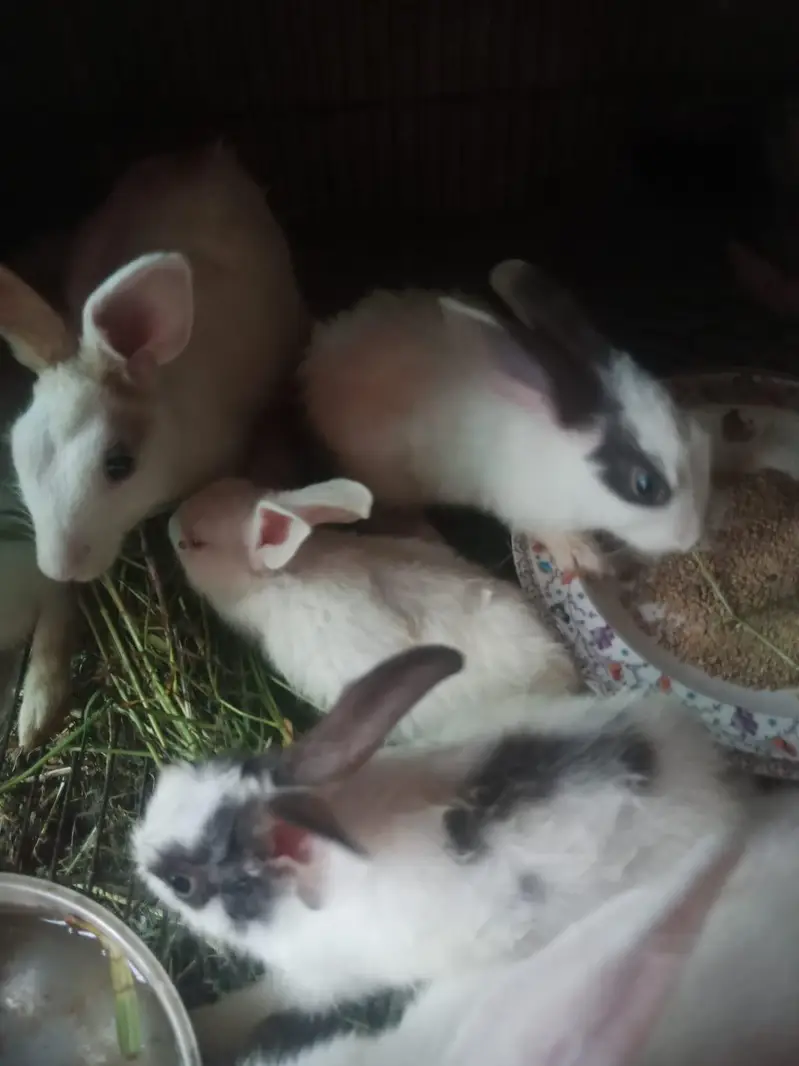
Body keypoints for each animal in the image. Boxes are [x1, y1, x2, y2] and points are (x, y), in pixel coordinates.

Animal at [301, 259, 711, 575]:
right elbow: (551, 532)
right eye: (644, 484)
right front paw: (585, 557)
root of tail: (318, 353)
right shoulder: (528, 507)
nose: (689, 538)